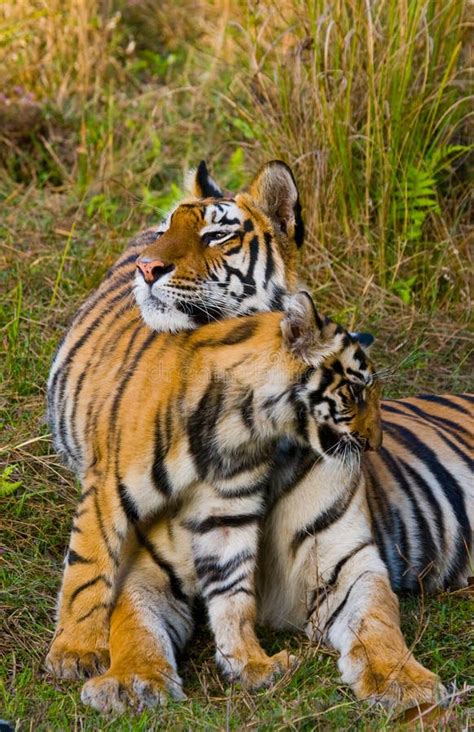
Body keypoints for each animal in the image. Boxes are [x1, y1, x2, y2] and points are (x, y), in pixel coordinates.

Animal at [46, 162, 472, 716]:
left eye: (217, 235)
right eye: (165, 230)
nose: (146, 267)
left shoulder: (345, 563)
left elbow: (378, 623)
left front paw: (405, 682)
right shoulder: (144, 565)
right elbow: (123, 614)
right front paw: (125, 677)